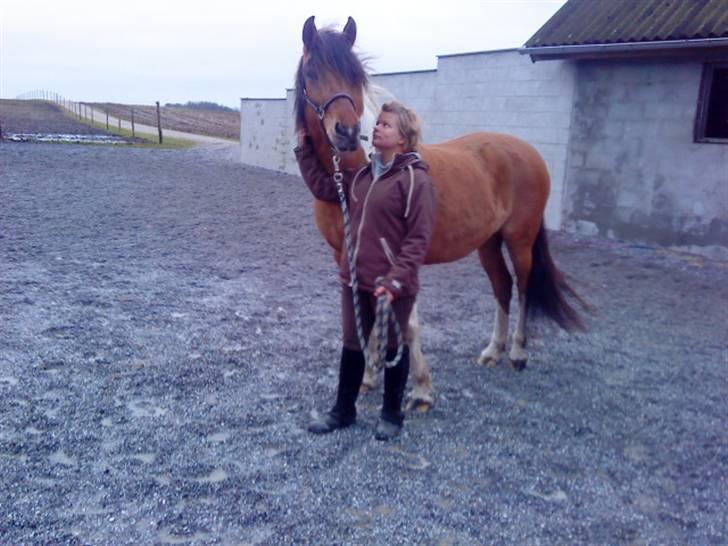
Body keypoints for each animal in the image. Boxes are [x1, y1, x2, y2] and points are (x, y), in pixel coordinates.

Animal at [294, 16, 586, 410]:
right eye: (311, 72)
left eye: (356, 75)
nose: (347, 132)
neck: (361, 171)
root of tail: (528, 151)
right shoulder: (346, 255)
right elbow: (365, 313)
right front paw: (369, 375)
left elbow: (407, 321)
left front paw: (420, 389)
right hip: (488, 243)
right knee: (502, 286)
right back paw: (492, 351)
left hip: (519, 240)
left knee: (523, 287)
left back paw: (517, 354)